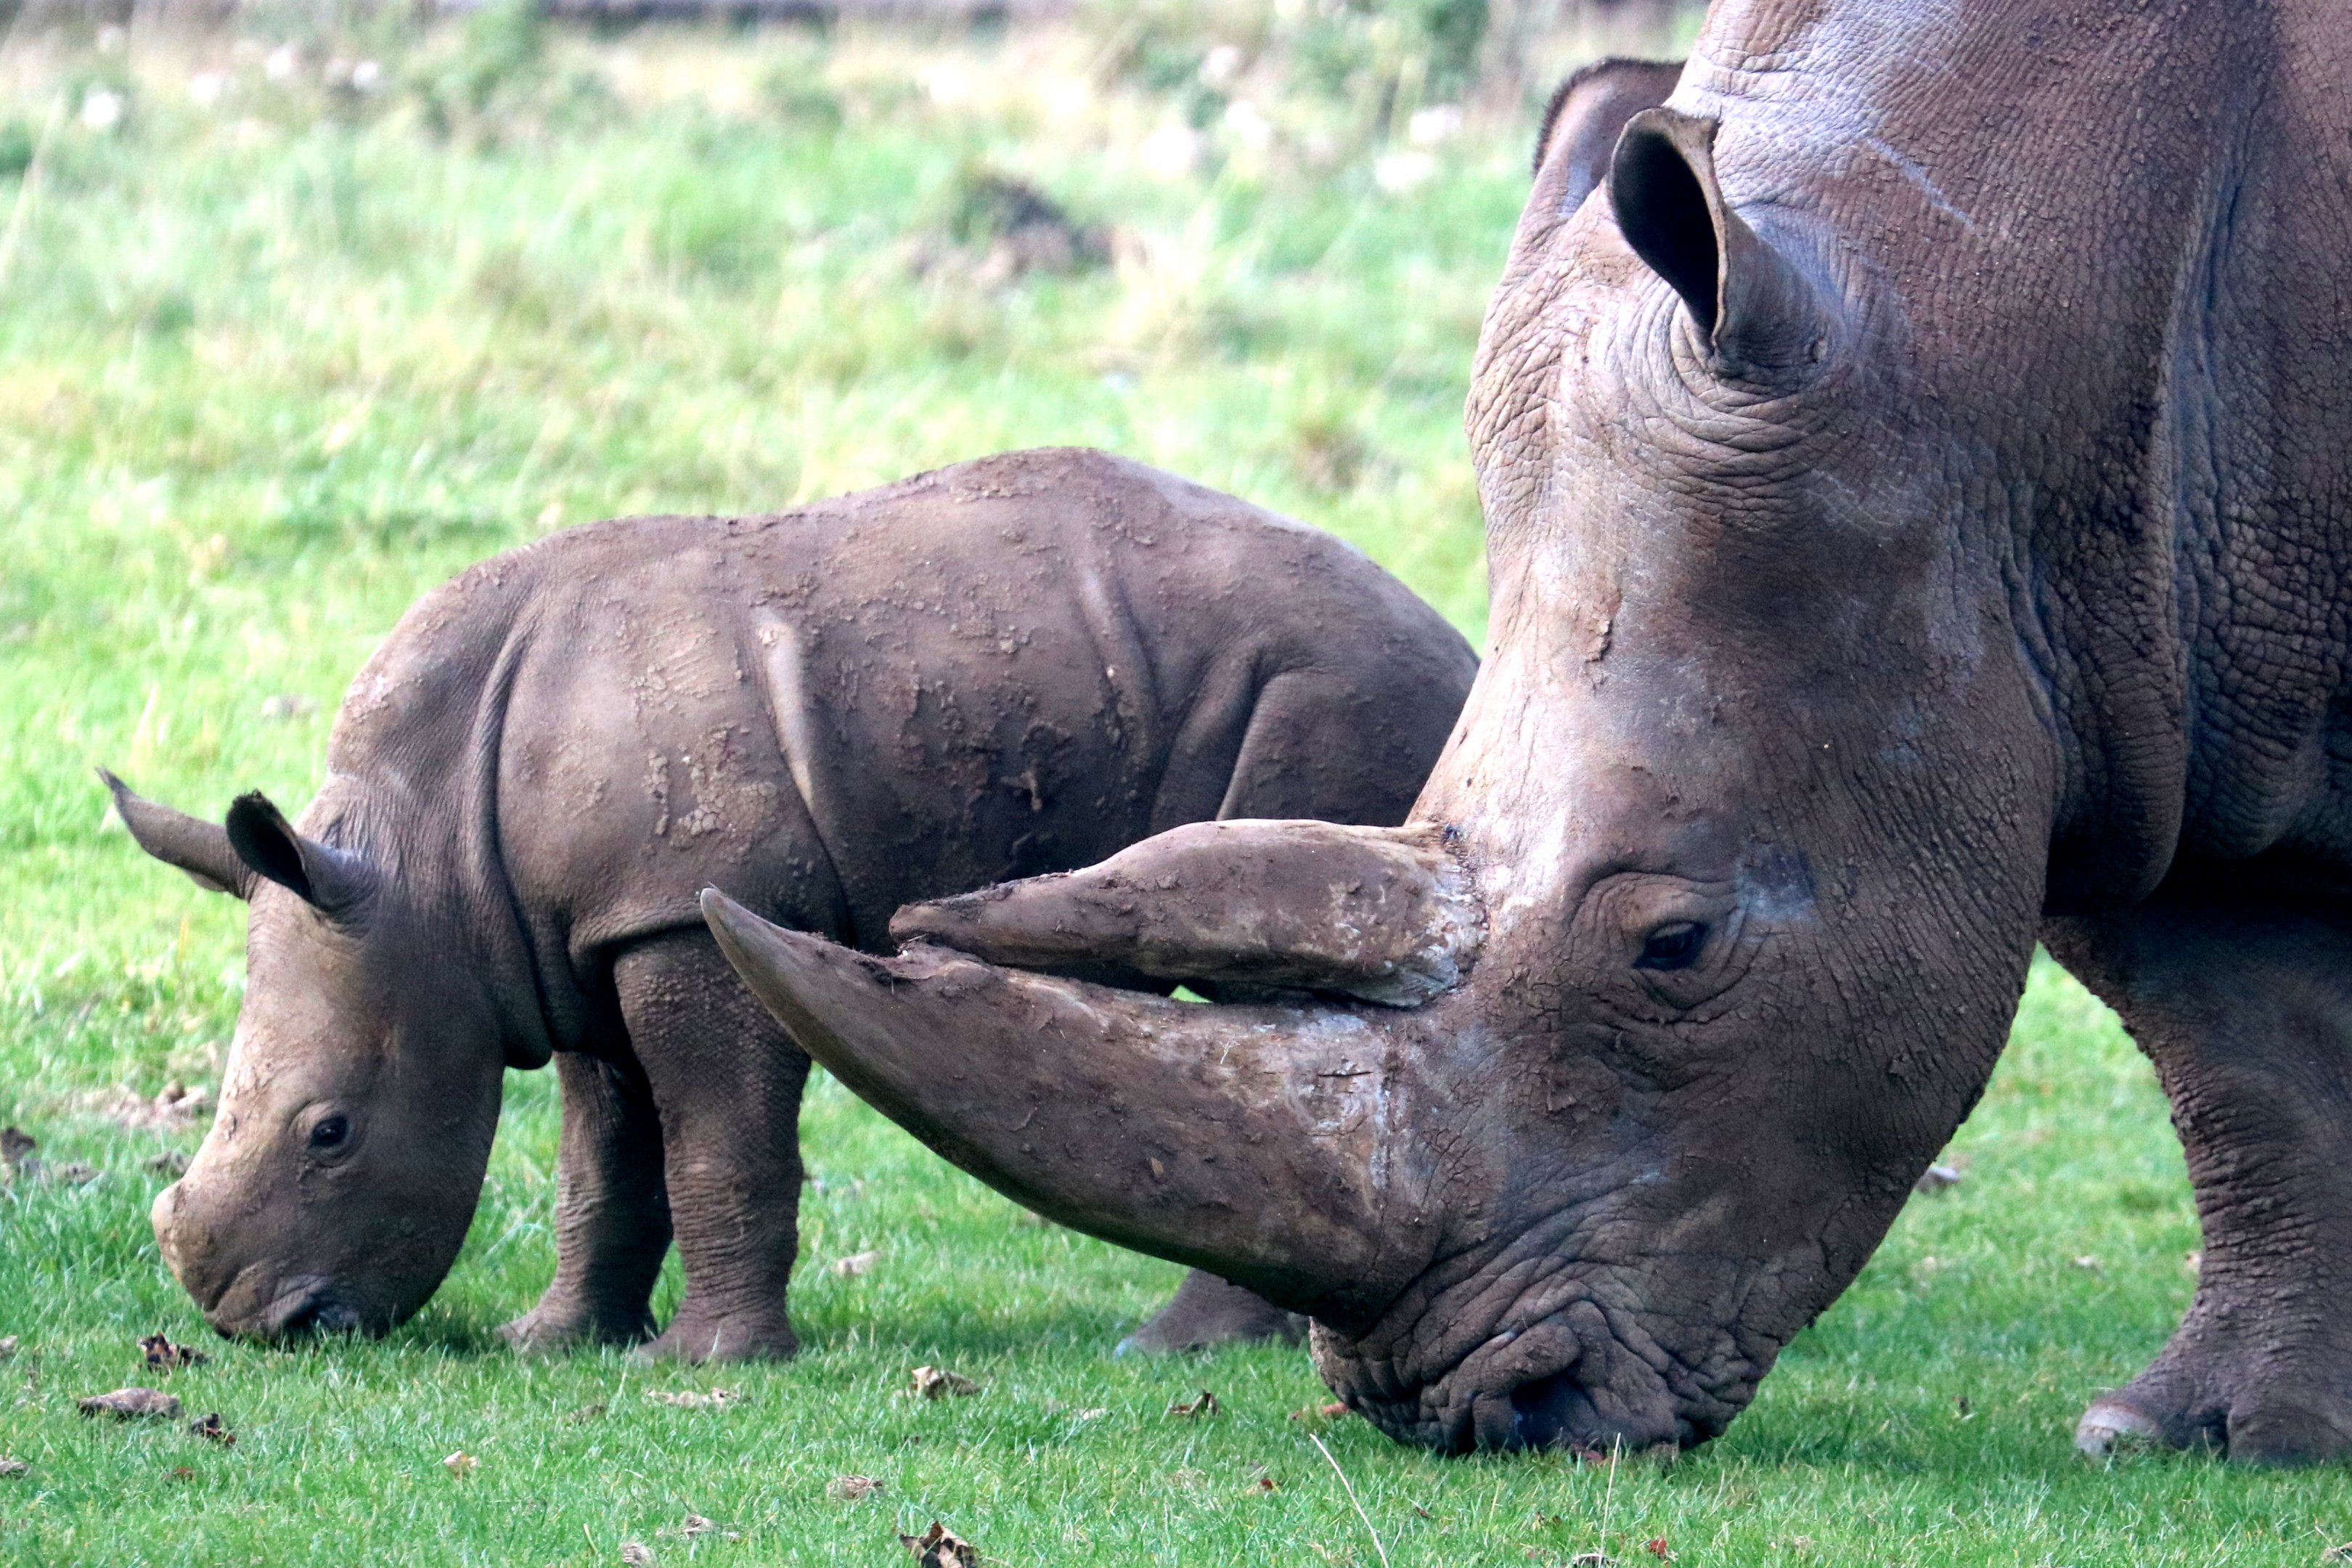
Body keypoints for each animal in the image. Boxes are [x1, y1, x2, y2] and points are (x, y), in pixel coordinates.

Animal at [112, 447, 1476, 1361]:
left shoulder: (682, 912)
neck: (421, 850)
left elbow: (715, 1134)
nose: (253, 1325)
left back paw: (1173, 1350)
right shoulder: (579, 933)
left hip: (1330, 692)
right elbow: (603, 1155)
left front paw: (707, 1365)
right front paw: (554, 1343)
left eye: (329, 1133)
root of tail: (1463, 642)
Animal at [703, 6, 2352, 1465]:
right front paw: (2208, 1437)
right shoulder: (2118, 682)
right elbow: (2242, 1050)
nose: (1468, 1410)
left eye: (1675, 945)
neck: (1984, 337)